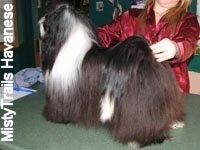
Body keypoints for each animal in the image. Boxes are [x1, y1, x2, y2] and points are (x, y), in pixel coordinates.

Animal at [39, 3, 184, 148]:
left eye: (47, 17)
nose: (40, 20)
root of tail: (146, 53)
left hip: (137, 103)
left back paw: (135, 140)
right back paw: (175, 122)